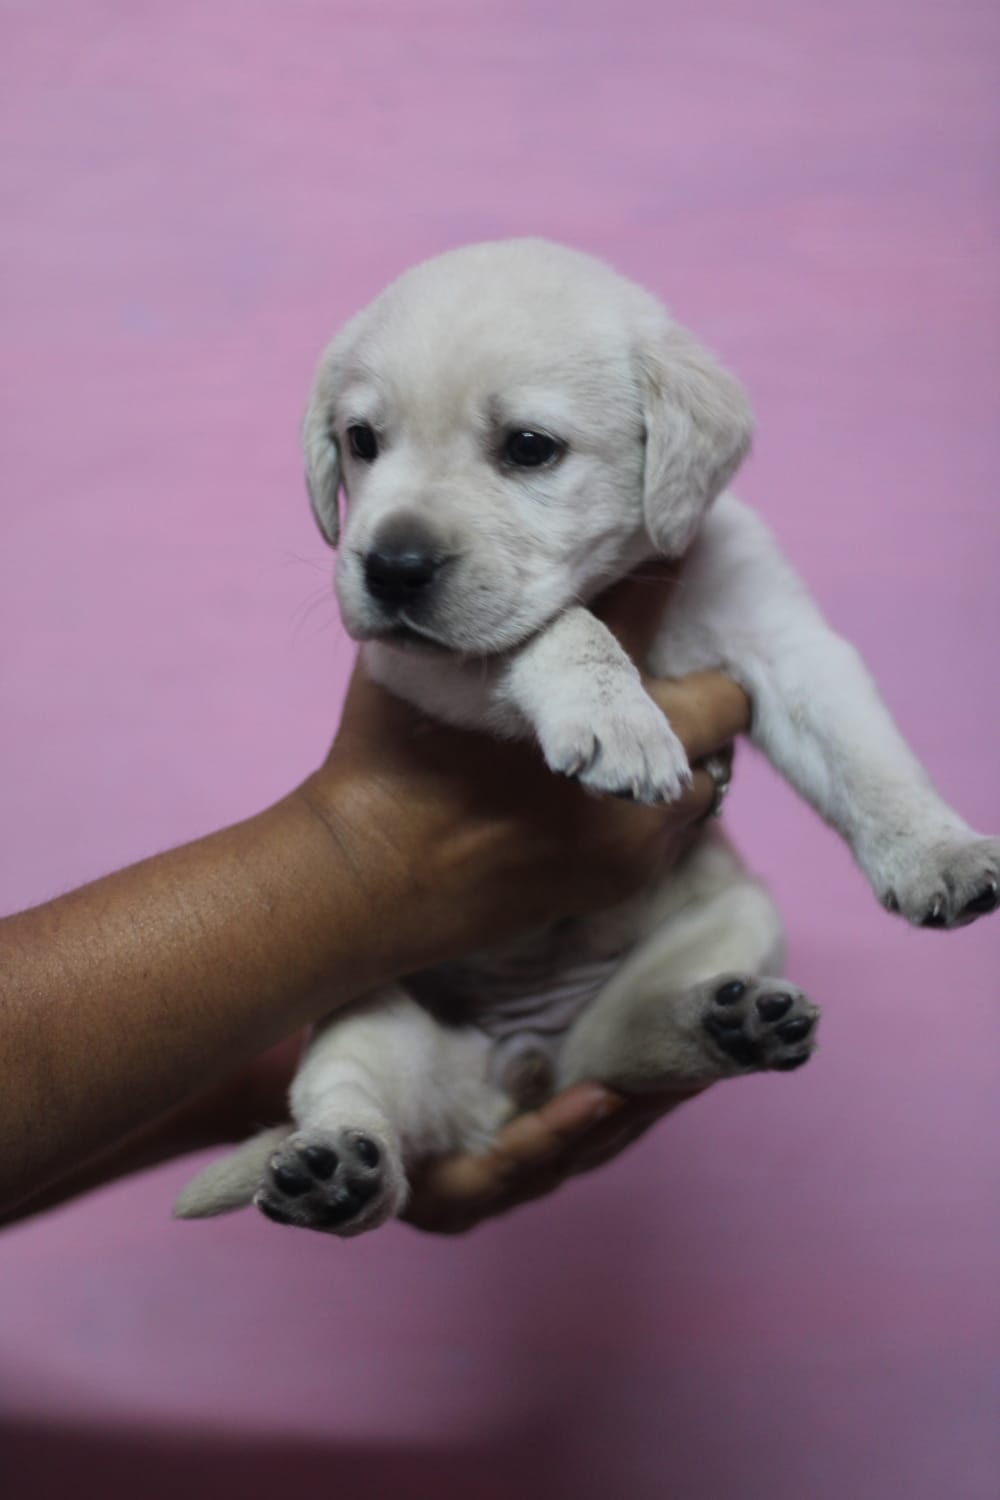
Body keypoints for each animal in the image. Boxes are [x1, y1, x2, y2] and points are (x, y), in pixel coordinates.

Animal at [176, 240, 995, 1236]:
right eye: (362, 440)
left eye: (530, 447)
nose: (392, 568)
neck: (632, 579)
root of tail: (518, 1078)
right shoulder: (421, 667)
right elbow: (559, 626)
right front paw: (617, 717)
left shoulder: (787, 640)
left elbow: (866, 755)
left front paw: (937, 852)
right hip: (360, 1006)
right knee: (367, 1114)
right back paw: (334, 1173)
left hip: (731, 926)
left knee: (628, 1052)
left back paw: (723, 1025)